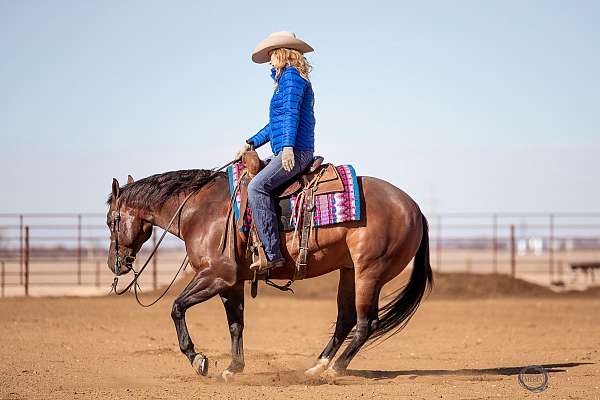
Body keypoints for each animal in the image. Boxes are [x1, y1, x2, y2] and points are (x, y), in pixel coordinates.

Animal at [105, 167, 434, 380]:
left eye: (110, 220)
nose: (114, 264)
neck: (200, 211)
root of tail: (415, 208)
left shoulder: (217, 275)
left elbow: (176, 308)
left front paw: (198, 360)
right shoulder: (232, 283)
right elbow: (235, 324)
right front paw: (233, 367)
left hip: (370, 272)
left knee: (367, 323)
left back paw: (335, 369)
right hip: (349, 271)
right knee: (346, 320)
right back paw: (318, 366)